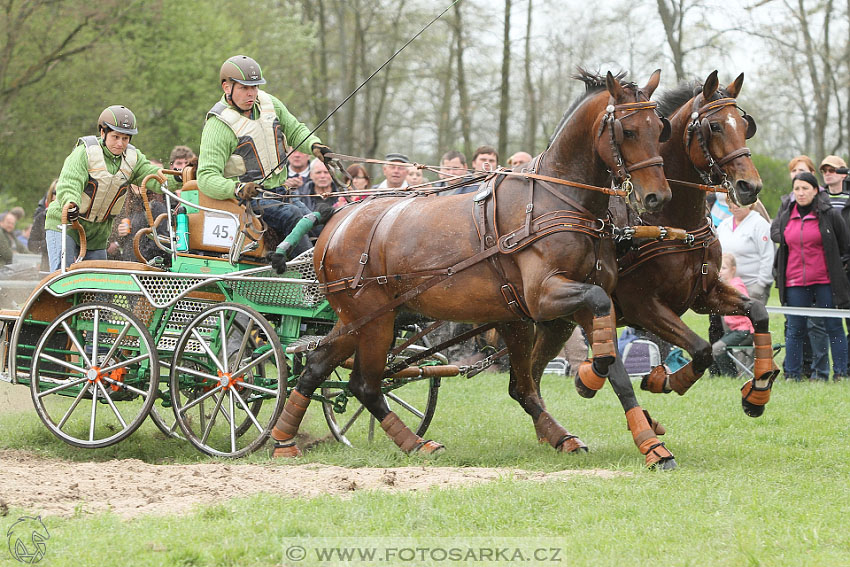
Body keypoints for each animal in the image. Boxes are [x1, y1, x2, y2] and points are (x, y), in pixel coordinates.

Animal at [272, 71, 676, 468]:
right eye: (628, 131)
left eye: (660, 127)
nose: (658, 197)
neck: (559, 201)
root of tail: (337, 221)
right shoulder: (546, 298)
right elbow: (600, 330)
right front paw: (590, 378)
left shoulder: (565, 309)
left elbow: (616, 370)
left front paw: (651, 444)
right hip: (373, 320)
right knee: (364, 384)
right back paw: (414, 443)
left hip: (361, 319)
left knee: (317, 367)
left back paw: (283, 440)